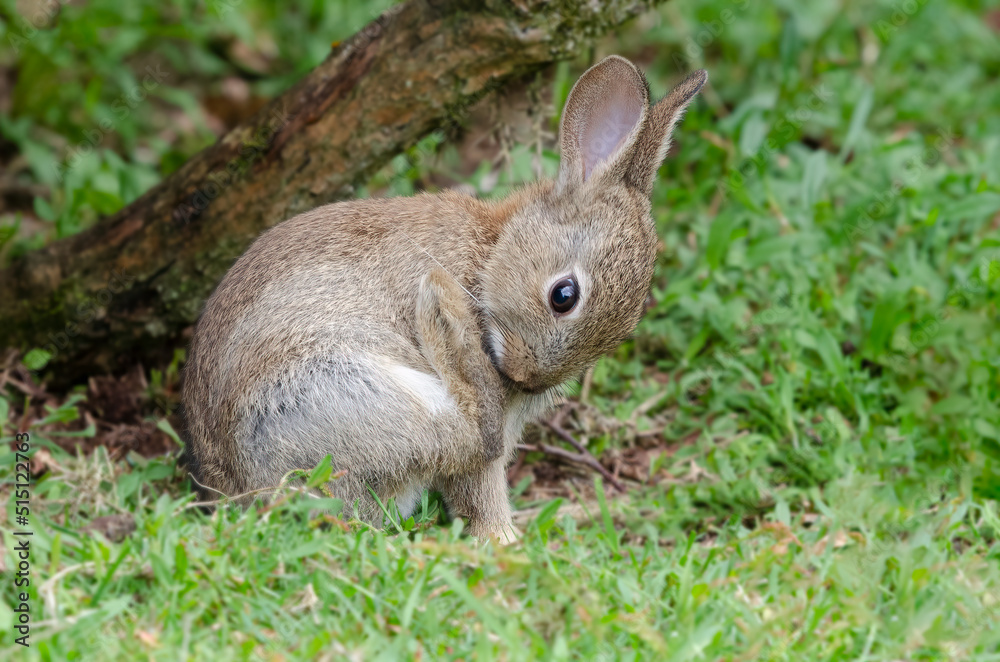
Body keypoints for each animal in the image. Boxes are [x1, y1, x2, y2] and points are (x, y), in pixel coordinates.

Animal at [181, 55, 707, 542]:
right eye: (564, 295)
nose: (528, 378)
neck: (491, 255)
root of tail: (237, 488)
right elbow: (482, 482)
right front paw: (504, 540)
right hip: (337, 397)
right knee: (470, 436)